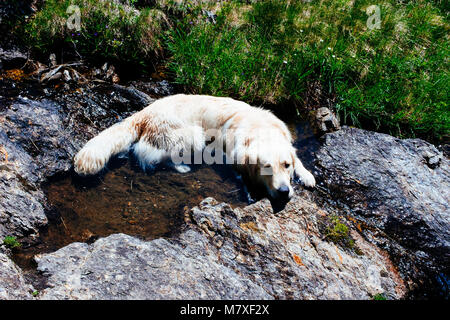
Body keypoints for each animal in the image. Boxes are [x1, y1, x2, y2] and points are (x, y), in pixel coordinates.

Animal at [74, 94, 316, 199]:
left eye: (286, 165)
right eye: (266, 167)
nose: (284, 191)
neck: (260, 128)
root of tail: (145, 112)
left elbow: (298, 158)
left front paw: (306, 175)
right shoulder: (232, 156)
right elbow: (240, 172)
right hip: (193, 135)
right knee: (151, 156)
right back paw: (182, 167)